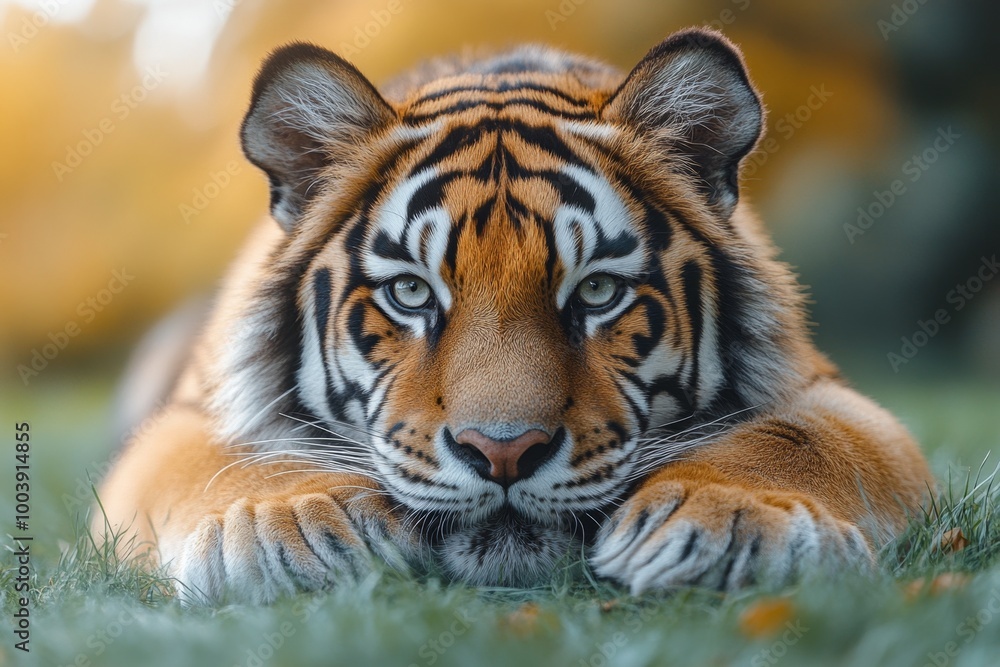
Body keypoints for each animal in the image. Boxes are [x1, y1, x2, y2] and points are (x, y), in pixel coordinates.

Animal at [97, 28, 934, 605]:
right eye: (411, 293)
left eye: (597, 292)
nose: (503, 452)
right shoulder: (185, 414)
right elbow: (221, 456)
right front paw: (292, 527)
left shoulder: (827, 390)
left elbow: (803, 440)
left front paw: (728, 522)